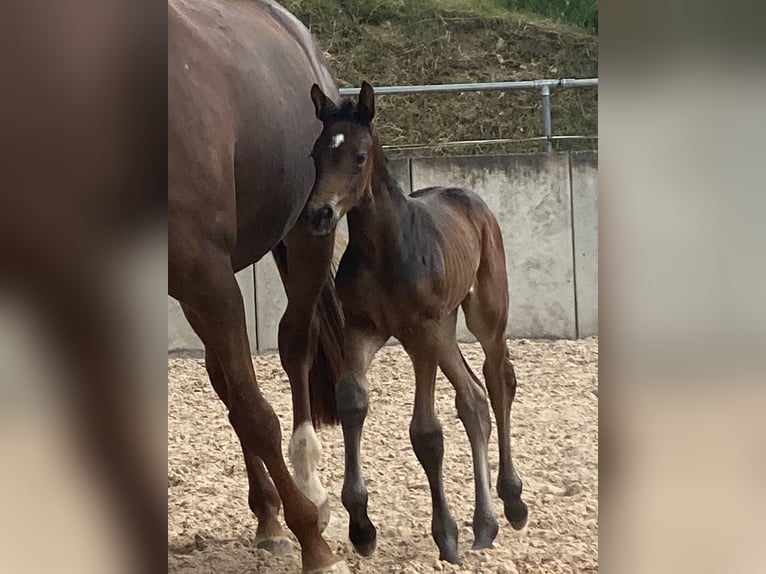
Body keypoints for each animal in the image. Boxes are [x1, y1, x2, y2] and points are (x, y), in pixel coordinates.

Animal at [168, 1, 348, 572]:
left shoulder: (205, 270)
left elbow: (255, 410)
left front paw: (314, 542)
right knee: (225, 379)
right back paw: (268, 515)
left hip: (308, 237)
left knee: (295, 348)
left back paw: (310, 491)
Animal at [305, 82, 529, 563]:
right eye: (316, 154)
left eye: (359, 156)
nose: (319, 214)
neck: (384, 249)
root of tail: (472, 199)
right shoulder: (363, 328)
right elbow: (352, 400)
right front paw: (361, 527)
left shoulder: (419, 331)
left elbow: (426, 431)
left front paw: (446, 535)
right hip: (445, 329)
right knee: (473, 398)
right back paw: (488, 521)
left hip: (482, 315)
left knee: (495, 382)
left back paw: (511, 505)